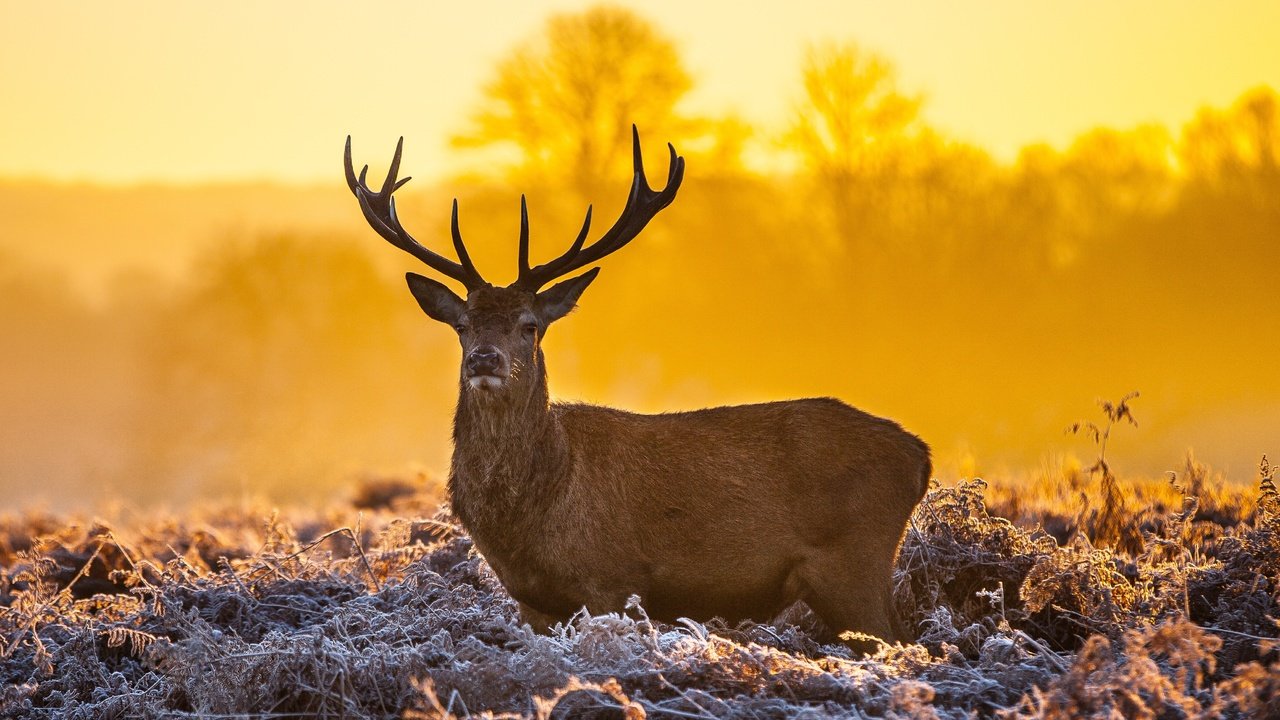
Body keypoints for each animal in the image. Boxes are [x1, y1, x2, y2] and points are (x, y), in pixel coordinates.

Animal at [345, 126, 936, 640]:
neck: (532, 516)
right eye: (463, 325)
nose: (484, 360)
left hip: (853, 562)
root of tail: (919, 455)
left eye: (529, 325)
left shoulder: (612, 580)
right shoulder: (532, 602)